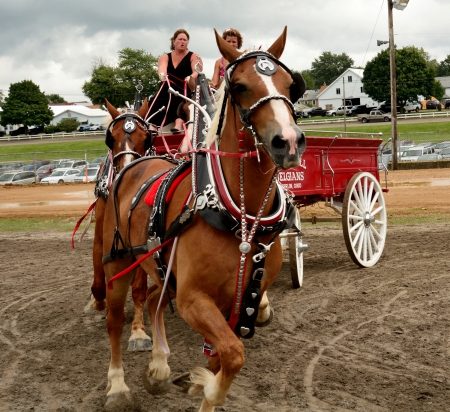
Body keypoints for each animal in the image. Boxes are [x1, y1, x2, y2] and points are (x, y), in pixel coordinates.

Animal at [102, 27, 306, 410]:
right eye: (239, 85)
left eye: (291, 85)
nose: (287, 141)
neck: (240, 219)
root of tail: (136, 163)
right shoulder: (192, 299)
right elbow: (233, 353)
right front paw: (206, 387)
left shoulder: (240, 298)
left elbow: (222, 356)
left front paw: (200, 385)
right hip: (117, 262)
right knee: (115, 320)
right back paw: (118, 385)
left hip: (162, 267)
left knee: (155, 298)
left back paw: (158, 367)